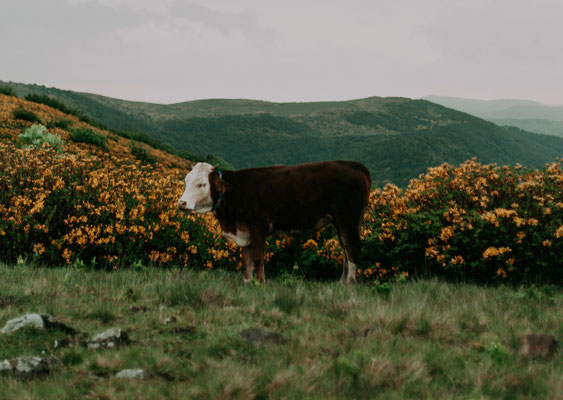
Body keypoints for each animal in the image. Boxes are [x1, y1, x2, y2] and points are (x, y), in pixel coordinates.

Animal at [176, 160, 370, 284]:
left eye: (202, 184)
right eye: (186, 181)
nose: (181, 203)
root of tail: (352, 164)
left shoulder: (258, 227)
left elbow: (258, 257)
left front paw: (260, 282)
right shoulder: (244, 231)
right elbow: (246, 258)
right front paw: (247, 282)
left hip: (347, 219)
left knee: (352, 247)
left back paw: (350, 282)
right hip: (342, 222)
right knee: (345, 248)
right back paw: (342, 281)